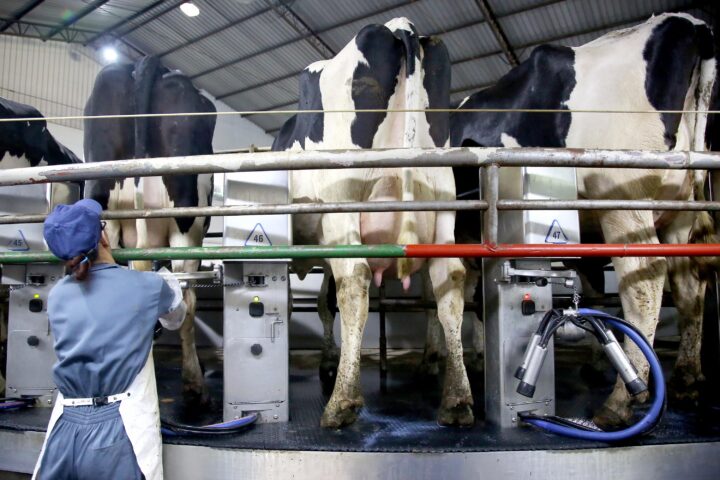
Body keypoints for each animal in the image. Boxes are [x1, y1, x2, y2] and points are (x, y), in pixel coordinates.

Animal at [270, 18, 472, 428]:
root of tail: (399, 27)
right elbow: (322, 303)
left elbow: (312, 301)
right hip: (443, 201)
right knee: (449, 282)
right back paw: (457, 399)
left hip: (344, 199)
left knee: (355, 281)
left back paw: (342, 402)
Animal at [450, 13, 716, 428]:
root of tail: (689, 23)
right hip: (678, 210)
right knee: (688, 287)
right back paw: (685, 378)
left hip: (624, 198)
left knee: (645, 281)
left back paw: (622, 399)